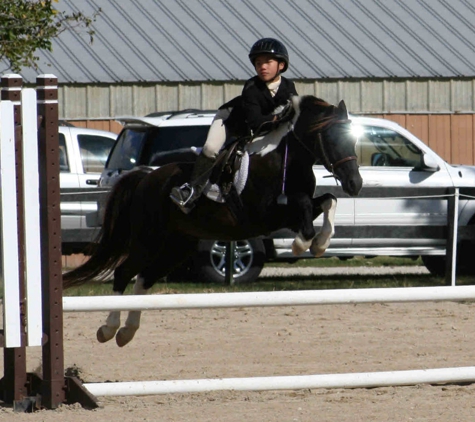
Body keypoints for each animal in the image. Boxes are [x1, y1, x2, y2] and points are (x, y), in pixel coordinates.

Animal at [64, 95, 364, 346]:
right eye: (332, 140)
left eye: (353, 141)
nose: (355, 184)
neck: (285, 159)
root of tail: (145, 177)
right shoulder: (265, 214)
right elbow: (303, 204)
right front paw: (302, 244)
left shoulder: (290, 210)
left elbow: (328, 200)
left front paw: (320, 243)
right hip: (147, 240)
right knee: (124, 273)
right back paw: (109, 329)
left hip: (177, 246)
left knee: (144, 278)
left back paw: (127, 332)